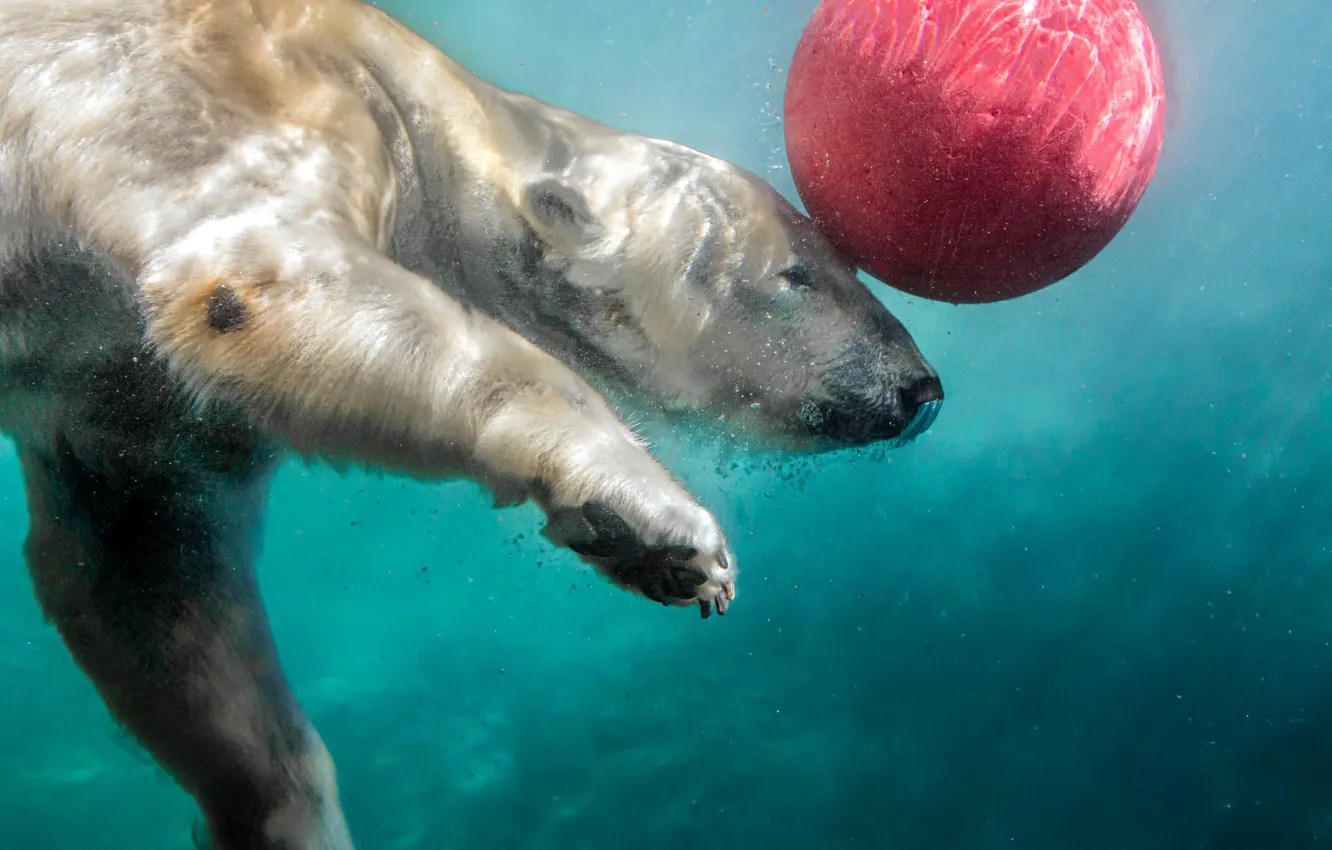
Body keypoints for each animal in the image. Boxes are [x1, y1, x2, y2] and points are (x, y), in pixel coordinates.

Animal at [0, 1, 945, 847]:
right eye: (799, 275)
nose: (920, 389)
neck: (419, 106)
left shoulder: (122, 386)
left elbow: (143, 552)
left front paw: (285, 811)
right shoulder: (229, 107)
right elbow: (261, 284)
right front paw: (659, 527)